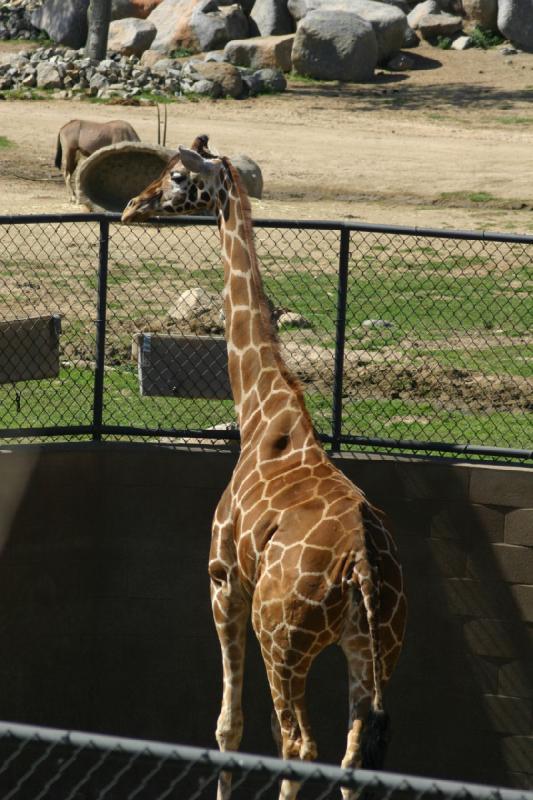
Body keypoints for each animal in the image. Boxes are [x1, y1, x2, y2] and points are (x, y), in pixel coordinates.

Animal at [120, 139, 406, 800]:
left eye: (177, 176)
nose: (132, 205)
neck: (262, 413)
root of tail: (363, 563)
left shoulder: (225, 579)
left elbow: (229, 727)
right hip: (375, 646)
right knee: (354, 752)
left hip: (284, 638)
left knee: (301, 743)